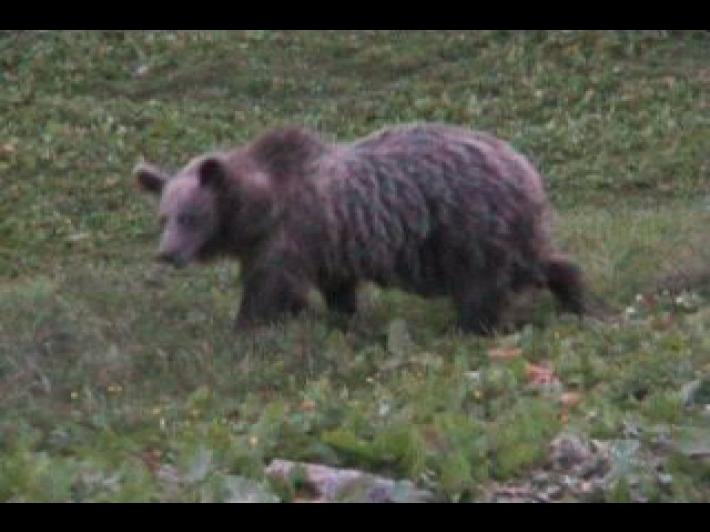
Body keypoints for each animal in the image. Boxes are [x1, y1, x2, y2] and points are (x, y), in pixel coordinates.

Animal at [135, 123, 584, 335]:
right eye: (163, 217)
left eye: (190, 216)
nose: (167, 253)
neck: (258, 212)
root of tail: (524, 167)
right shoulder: (327, 245)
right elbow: (335, 291)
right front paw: (336, 319)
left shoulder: (293, 234)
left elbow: (270, 289)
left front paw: (246, 327)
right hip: (502, 231)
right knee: (538, 262)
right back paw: (577, 299)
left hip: (468, 227)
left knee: (482, 286)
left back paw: (469, 327)